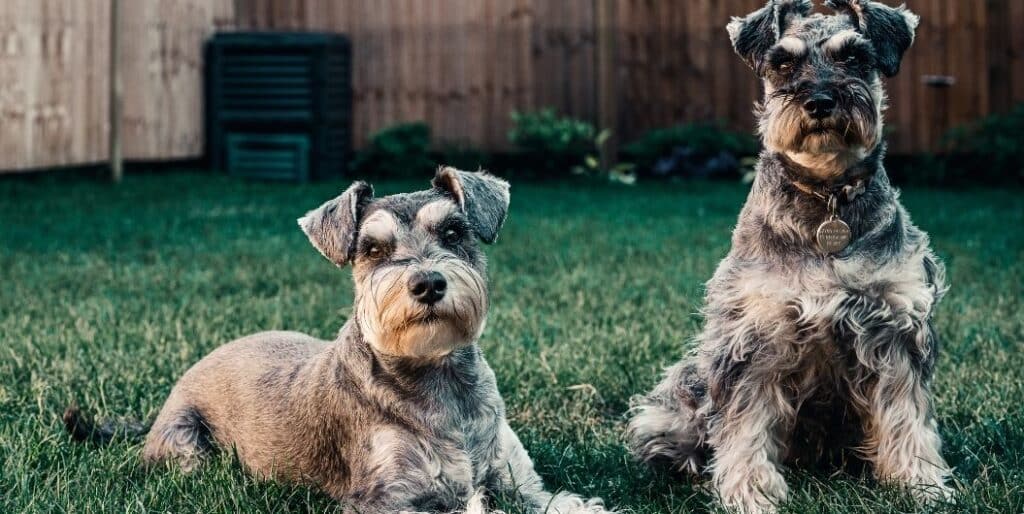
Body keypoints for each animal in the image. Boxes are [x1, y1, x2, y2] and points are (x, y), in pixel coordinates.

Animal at [68, 166, 610, 511]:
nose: (428, 284)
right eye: (372, 249)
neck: (439, 381)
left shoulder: (522, 484)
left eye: (455, 233)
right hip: (188, 451)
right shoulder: (384, 499)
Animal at [622, 2, 950, 511]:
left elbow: (908, 416)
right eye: (781, 63)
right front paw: (750, 492)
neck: (827, 194)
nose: (819, 102)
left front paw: (923, 484)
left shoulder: (895, 329)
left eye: (855, 57)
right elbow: (745, 424)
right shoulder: (755, 335)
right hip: (679, 400)